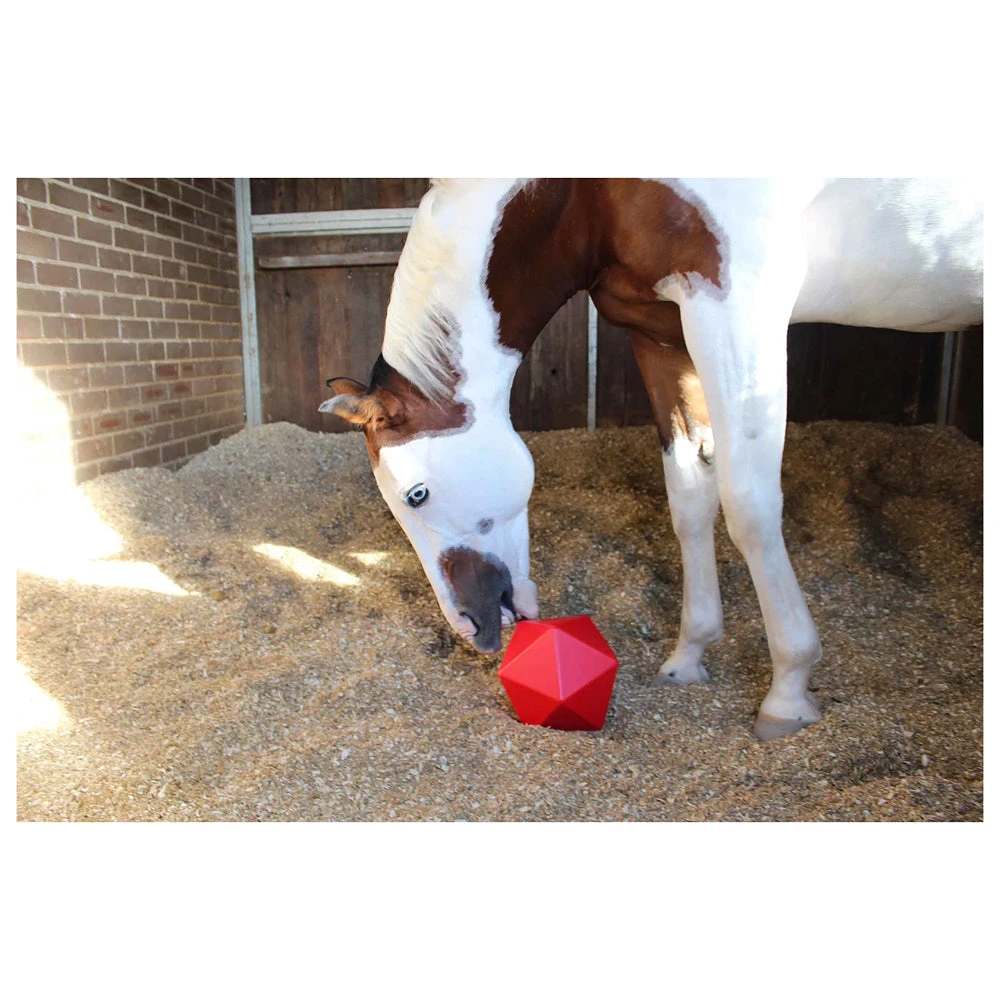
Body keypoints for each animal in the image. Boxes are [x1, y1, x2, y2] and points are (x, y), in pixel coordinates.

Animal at [320, 179, 983, 740]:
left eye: (417, 494)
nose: (471, 627)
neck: (585, 194)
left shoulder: (737, 305)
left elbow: (749, 506)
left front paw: (788, 693)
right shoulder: (661, 331)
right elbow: (689, 496)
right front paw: (690, 654)